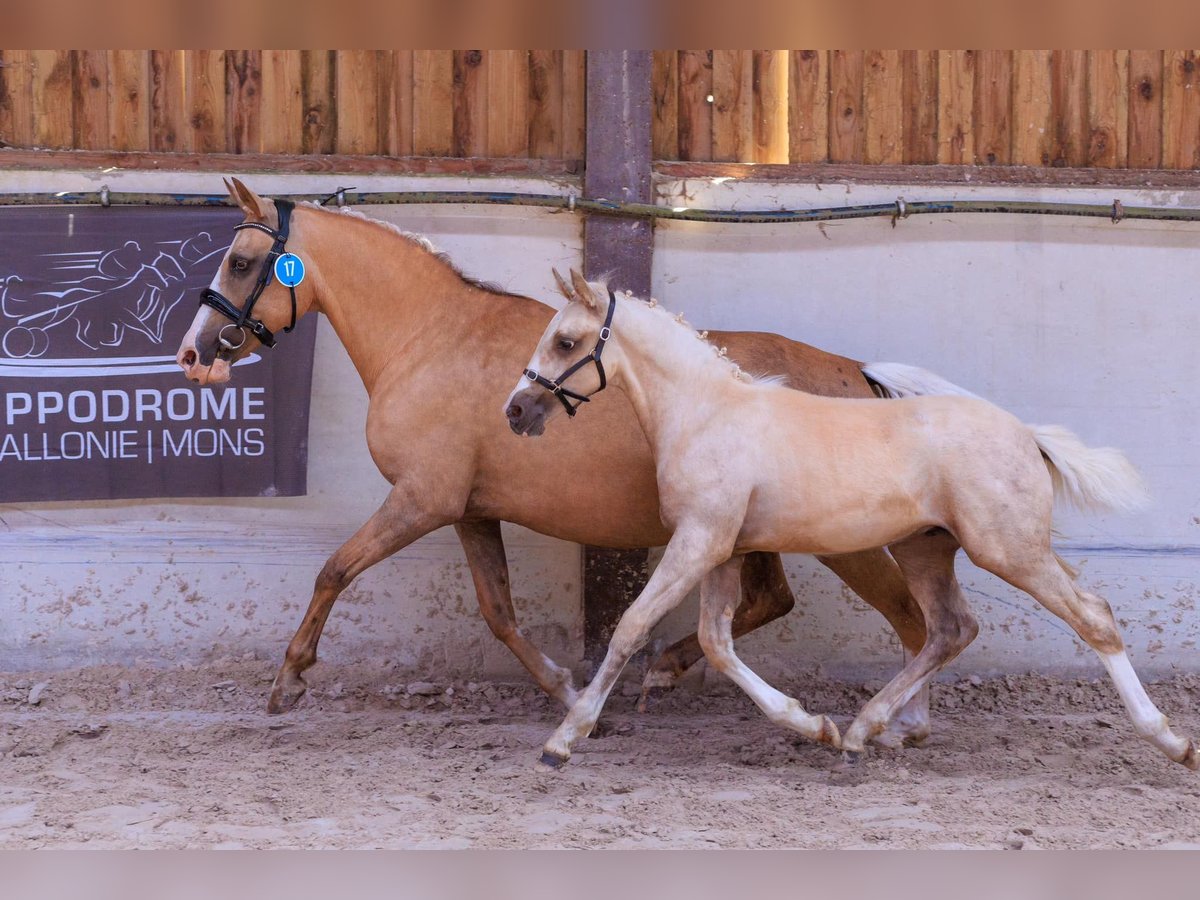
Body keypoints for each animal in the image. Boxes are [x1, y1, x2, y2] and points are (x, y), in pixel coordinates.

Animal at [174, 177, 931, 748]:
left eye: (241, 261)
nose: (194, 350)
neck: (429, 337)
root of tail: (854, 373)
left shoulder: (421, 500)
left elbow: (335, 568)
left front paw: (290, 680)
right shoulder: (468, 512)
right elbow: (499, 612)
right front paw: (570, 693)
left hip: (845, 544)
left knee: (912, 620)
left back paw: (889, 725)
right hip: (753, 536)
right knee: (776, 600)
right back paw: (674, 671)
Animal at [501, 271, 1195, 772]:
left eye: (566, 341)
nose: (516, 412)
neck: (706, 414)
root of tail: (1025, 433)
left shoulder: (698, 542)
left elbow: (633, 626)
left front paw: (564, 739)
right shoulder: (723, 549)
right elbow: (716, 642)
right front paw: (816, 726)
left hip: (1009, 550)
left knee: (1092, 618)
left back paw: (1171, 742)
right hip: (926, 550)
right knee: (950, 629)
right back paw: (862, 730)